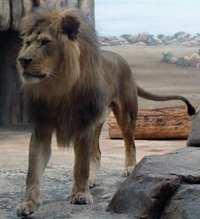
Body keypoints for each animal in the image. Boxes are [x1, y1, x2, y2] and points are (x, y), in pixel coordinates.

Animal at [16, 6, 196, 216]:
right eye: (27, 43)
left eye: (45, 42)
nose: (22, 60)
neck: (58, 87)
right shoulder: (42, 127)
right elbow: (33, 169)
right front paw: (28, 203)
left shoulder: (84, 124)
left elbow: (81, 165)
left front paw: (80, 194)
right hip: (98, 121)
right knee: (96, 153)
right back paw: (91, 180)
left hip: (125, 115)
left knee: (130, 143)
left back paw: (129, 168)